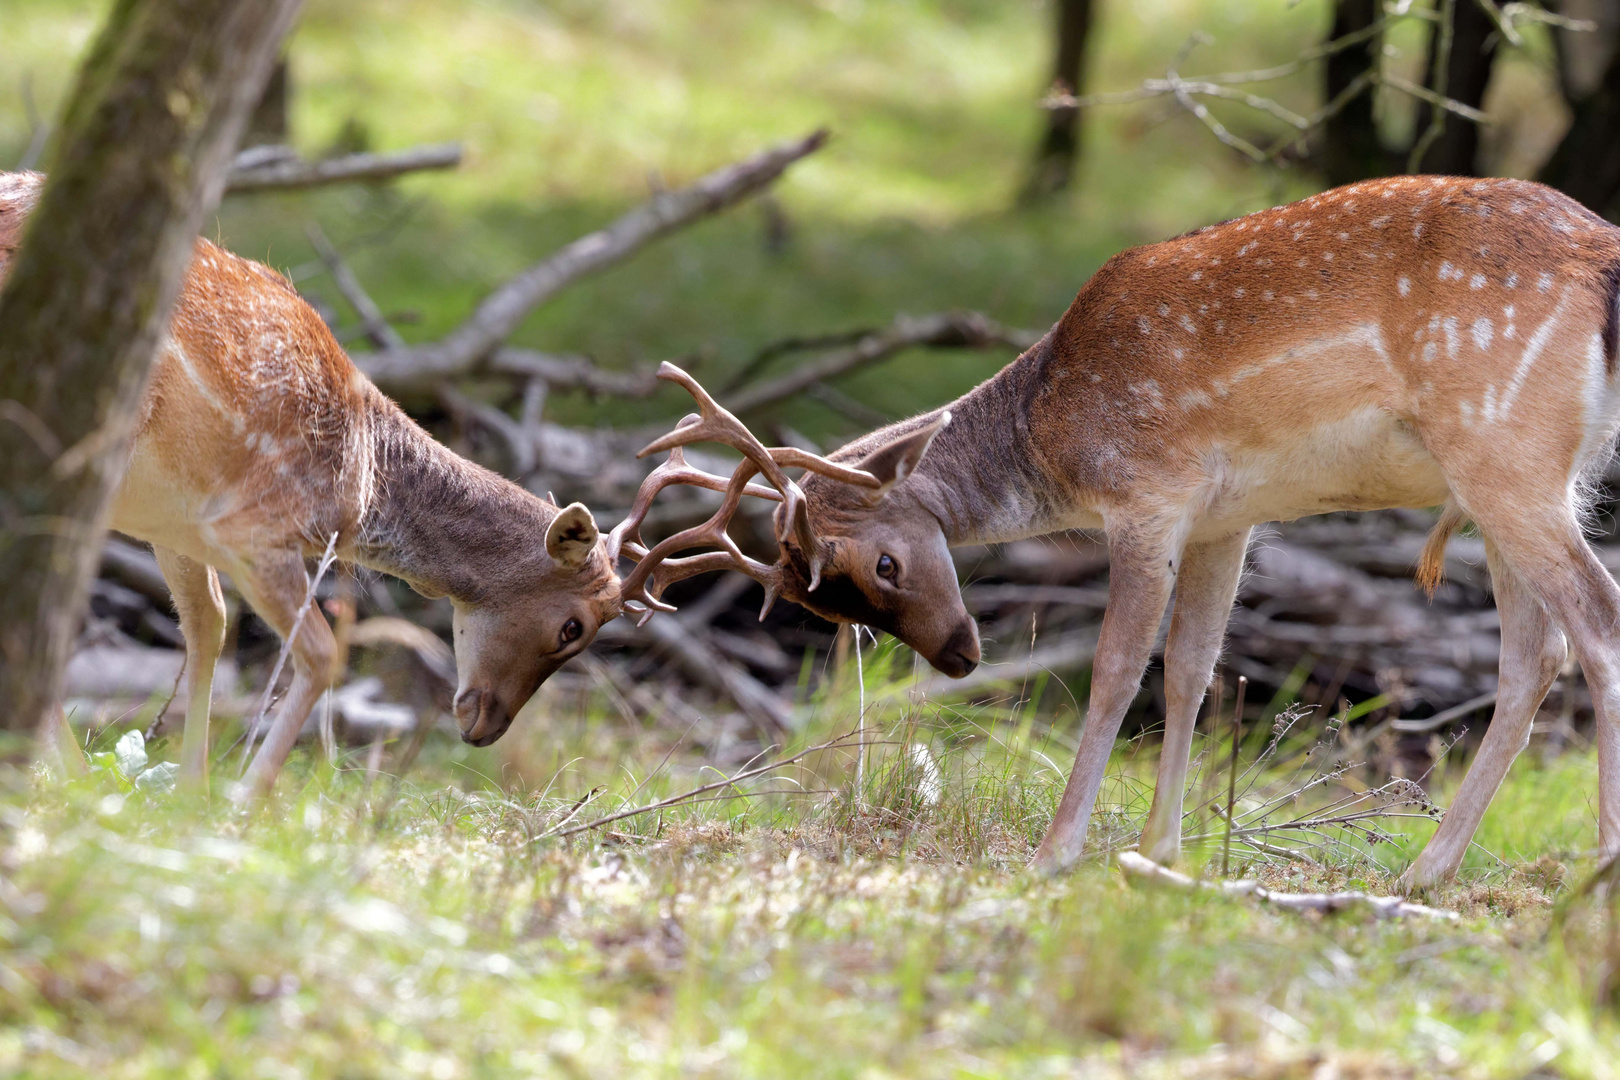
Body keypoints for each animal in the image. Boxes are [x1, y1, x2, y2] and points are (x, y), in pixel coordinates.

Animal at [0, 173, 622, 799]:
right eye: (572, 628)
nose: (485, 726)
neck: (359, 491)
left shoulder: (176, 522)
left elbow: (209, 624)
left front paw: (189, 792)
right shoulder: (253, 524)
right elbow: (324, 654)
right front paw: (240, 799)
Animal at [615, 175, 1620, 887]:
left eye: (887, 562)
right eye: (827, 606)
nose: (960, 657)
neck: (1054, 430)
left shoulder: (1148, 495)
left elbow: (1115, 671)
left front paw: (1058, 851)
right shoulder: (1228, 519)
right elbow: (1192, 670)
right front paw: (1159, 849)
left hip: (1503, 447)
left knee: (1597, 624)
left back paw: (1594, 870)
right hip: (1516, 478)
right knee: (1535, 657)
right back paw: (1426, 871)